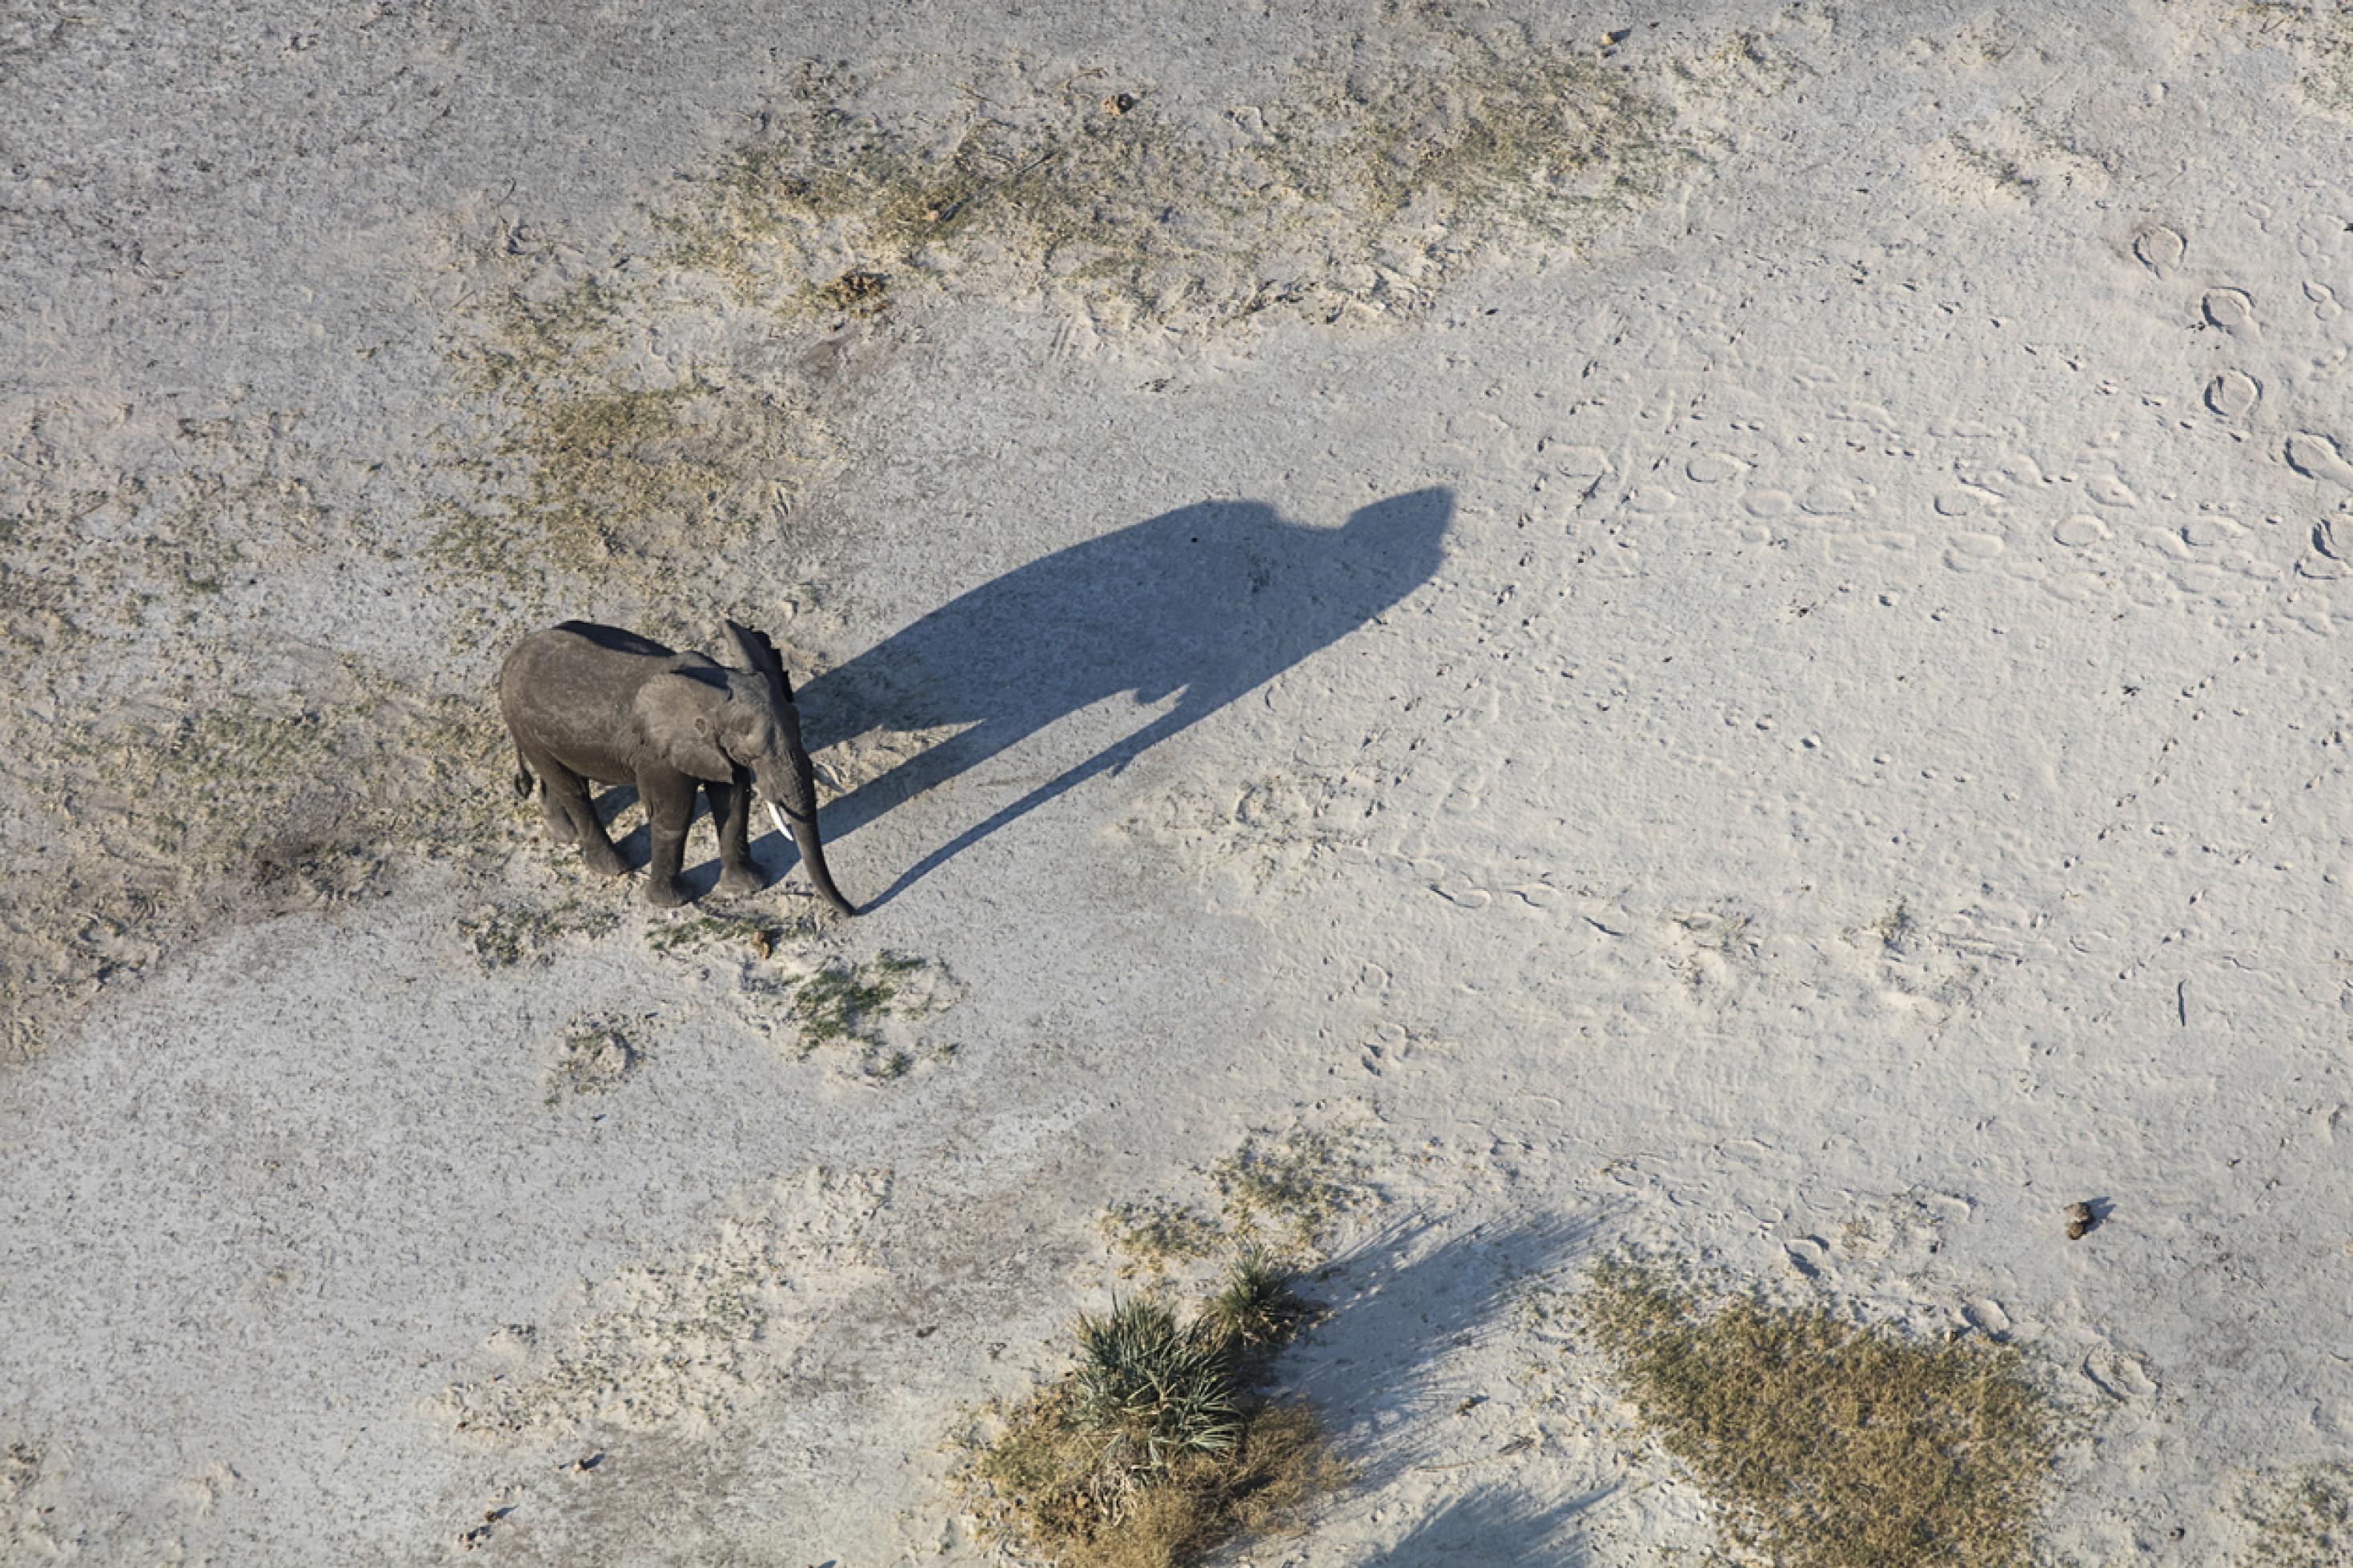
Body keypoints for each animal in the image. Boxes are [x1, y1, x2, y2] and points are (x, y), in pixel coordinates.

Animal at [501, 620, 861, 912]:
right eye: (755, 752)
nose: (853, 911)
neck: (715, 691)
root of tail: (511, 656)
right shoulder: (659, 753)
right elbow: (674, 811)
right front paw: (672, 903)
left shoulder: (715, 748)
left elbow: (734, 798)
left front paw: (746, 888)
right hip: (522, 720)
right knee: (572, 787)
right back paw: (613, 867)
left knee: (558, 777)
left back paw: (564, 835)